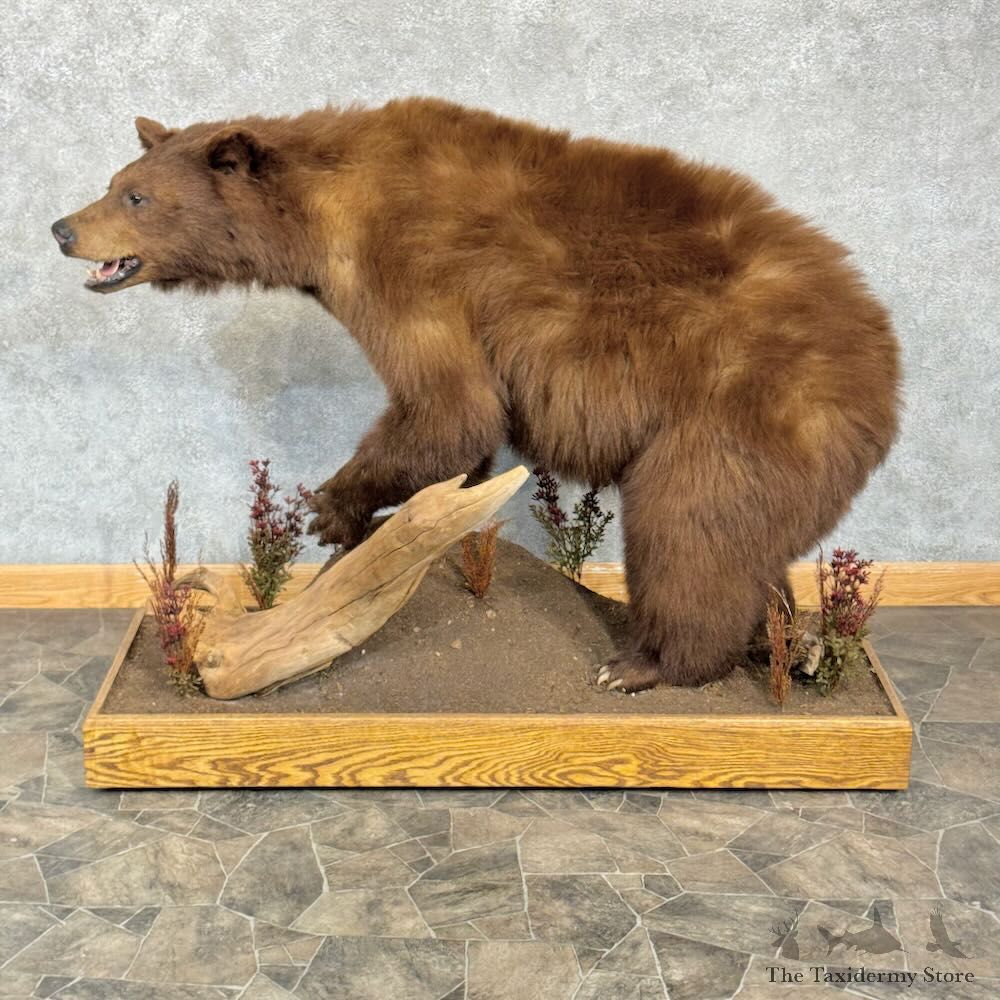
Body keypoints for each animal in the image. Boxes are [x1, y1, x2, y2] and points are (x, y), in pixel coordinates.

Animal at [52, 97, 900, 692]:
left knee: (689, 528)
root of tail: (885, 371)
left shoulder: (414, 269)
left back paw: (645, 663)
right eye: (114, 183)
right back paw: (788, 642)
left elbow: (449, 407)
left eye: (135, 198)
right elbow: (465, 444)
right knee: (750, 544)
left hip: (745, 405)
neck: (330, 211)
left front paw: (332, 507)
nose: (62, 228)